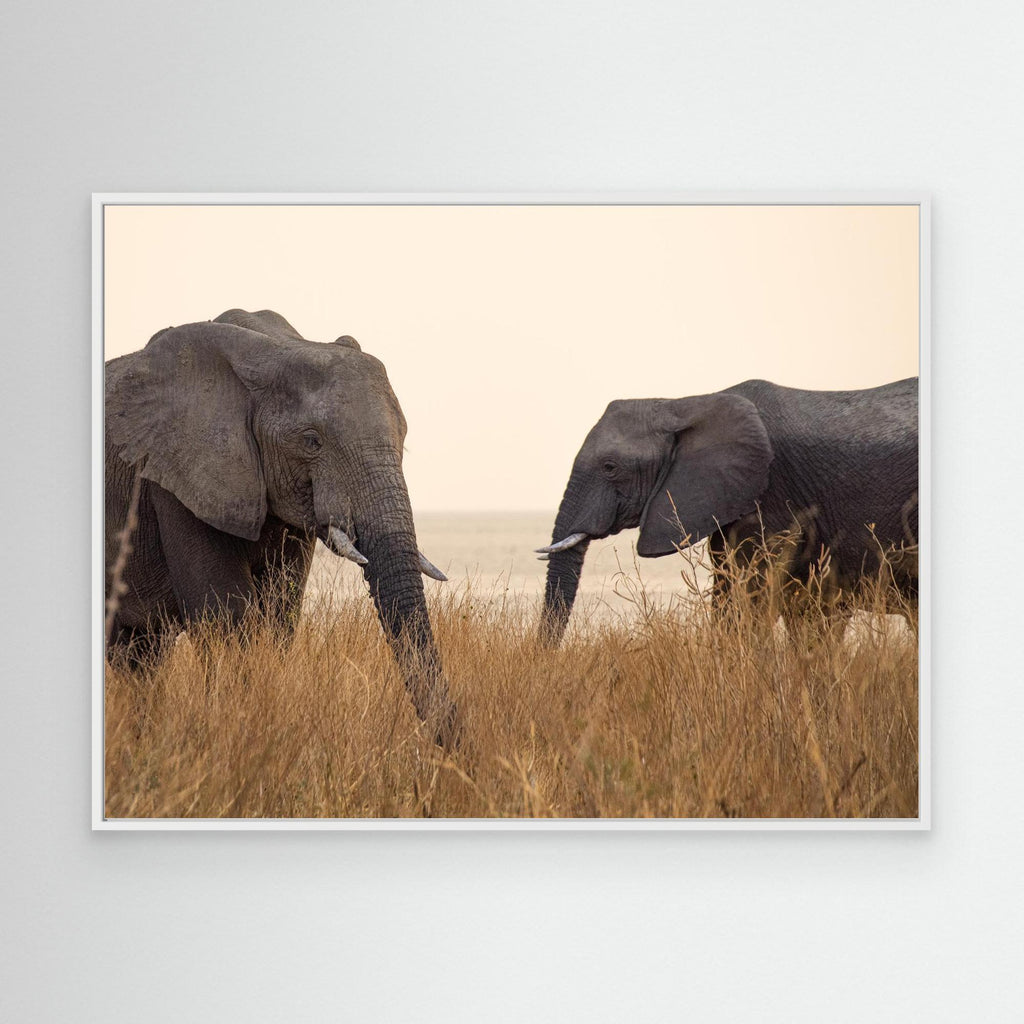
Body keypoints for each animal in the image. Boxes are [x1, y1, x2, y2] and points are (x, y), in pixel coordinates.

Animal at [105, 308, 455, 738]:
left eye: (403, 438)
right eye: (311, 441)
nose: (458, 749)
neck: (271, 350)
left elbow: (280, 611)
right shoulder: (173, 478)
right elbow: (226, 616)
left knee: (140, 658)